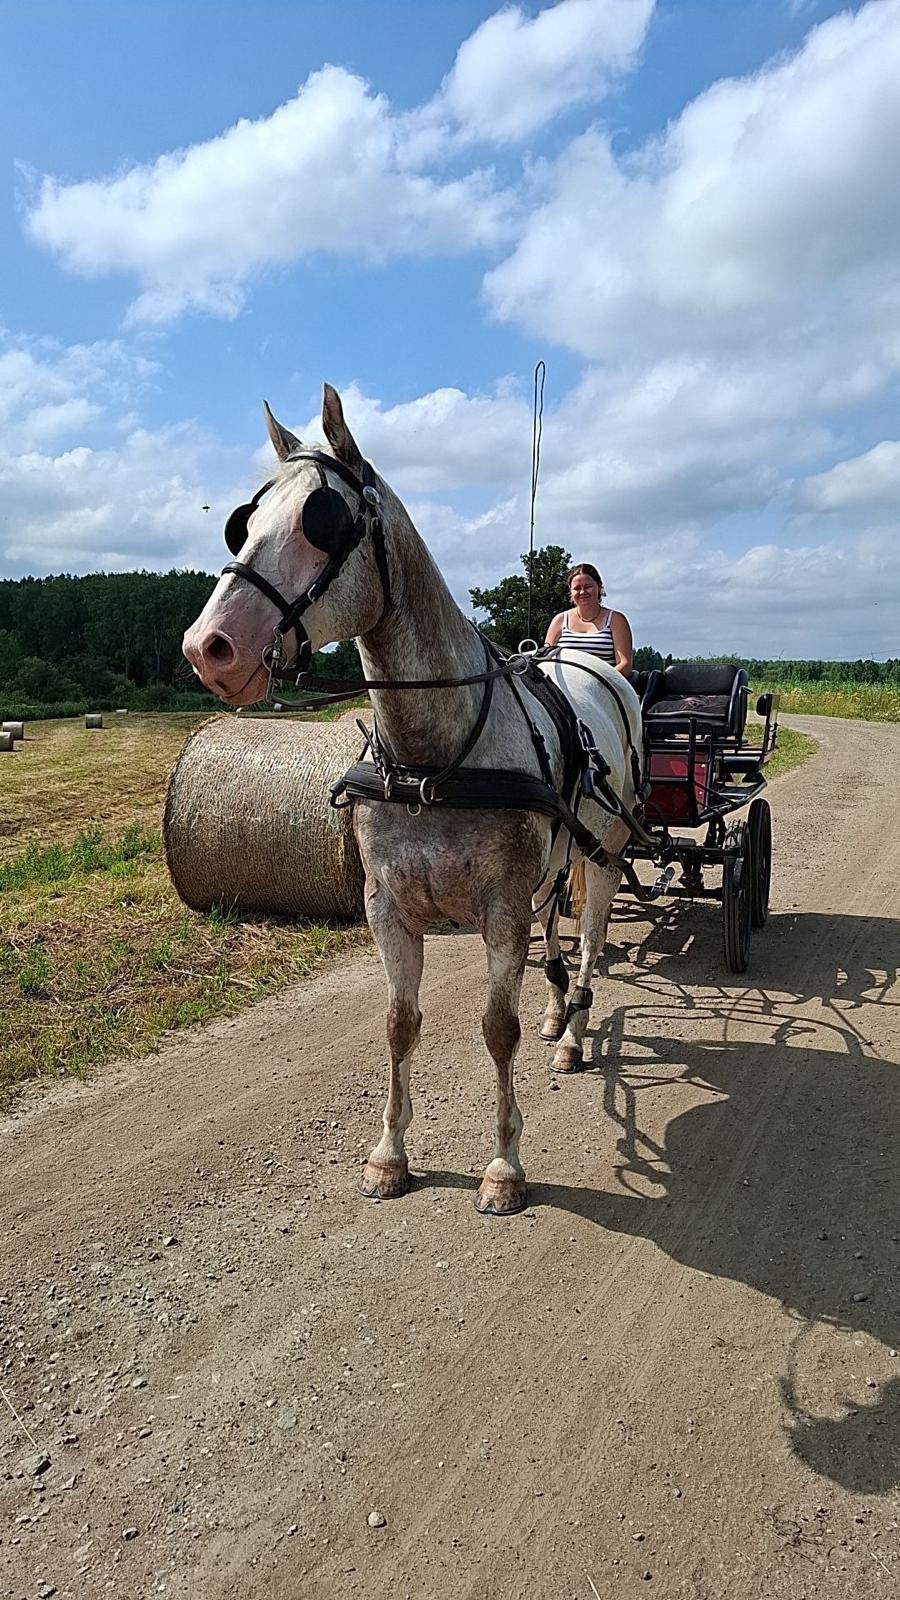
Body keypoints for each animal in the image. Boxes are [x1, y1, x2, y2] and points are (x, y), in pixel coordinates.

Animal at [183, 384, 643, 1216]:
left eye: (323, 520)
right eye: (243, 521)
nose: (210, 648)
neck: (435, 758)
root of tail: (599, 673)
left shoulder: (498, 908)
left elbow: (497, 1029)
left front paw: (504, 1164)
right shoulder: (386, 905)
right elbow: (399, 1025)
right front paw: (389, 1154)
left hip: (608, 851)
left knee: (590, 937)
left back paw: (571, 1031)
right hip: (560, 856)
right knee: (559, 930)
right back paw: (559, 1008)